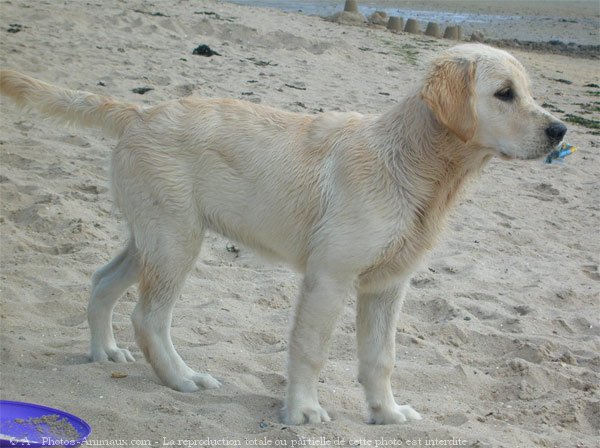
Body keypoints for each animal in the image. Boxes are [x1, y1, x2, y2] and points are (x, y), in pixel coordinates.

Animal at [0, 43, 568, 426]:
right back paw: (183, 379)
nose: (560, 130)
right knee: (149, 317)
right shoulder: (330, 277)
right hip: (175, 240)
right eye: (504, 94)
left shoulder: (388, 285)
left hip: (152, 235)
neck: (411, 165)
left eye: (529, 92)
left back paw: (104, 353)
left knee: (101, 281)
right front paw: (303, 412)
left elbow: (380, 357)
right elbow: (311, 349)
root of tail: (140, 112)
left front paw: (386, 414)